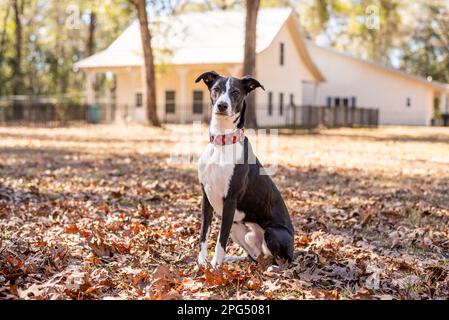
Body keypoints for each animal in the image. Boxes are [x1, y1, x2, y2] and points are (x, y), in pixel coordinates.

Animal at [193, 70, 292, 268]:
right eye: (216, 89)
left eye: (235, 92)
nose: (222, 106)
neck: (222, 142)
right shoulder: (206, 197)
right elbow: (204, 232)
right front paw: (202, 261)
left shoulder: (230, 200)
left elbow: (220, 239)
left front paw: (215, 265)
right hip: (238, 229)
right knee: (254, 256)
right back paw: (234, 258)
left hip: (273, 232)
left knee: (284, 260)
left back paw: (273, 268)